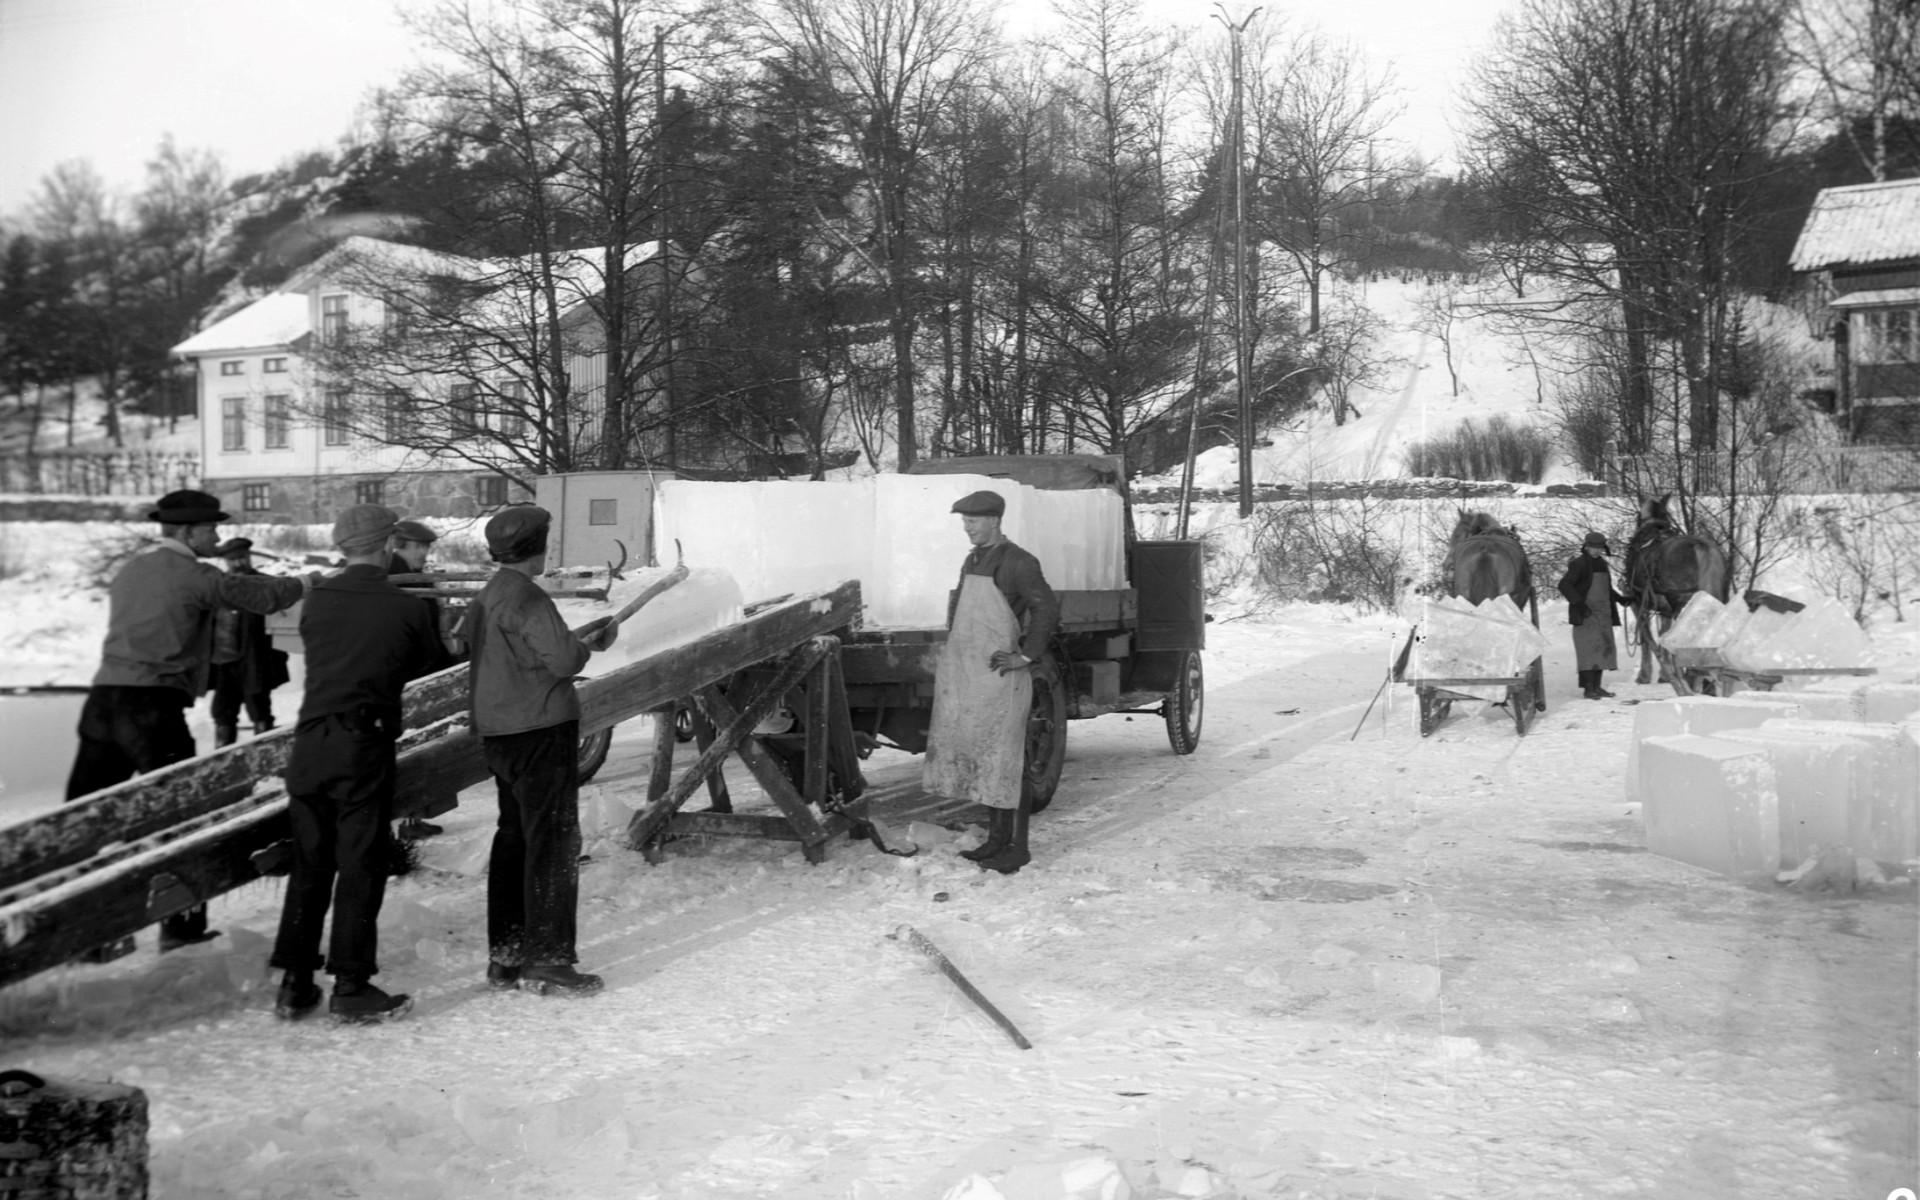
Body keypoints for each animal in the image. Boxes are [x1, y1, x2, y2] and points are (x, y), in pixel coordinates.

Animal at [1628, 495, 1735, 683]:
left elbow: (1646, 640)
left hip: (1680, 603)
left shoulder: (1639, 603)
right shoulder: (1664, 610)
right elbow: (1663, 636)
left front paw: (1644, 675)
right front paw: (1664, 675)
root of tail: (1701, 546)